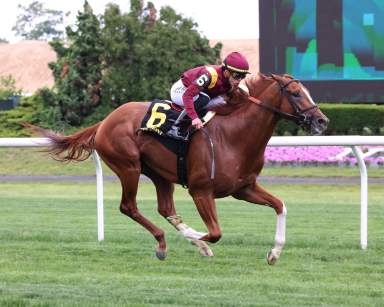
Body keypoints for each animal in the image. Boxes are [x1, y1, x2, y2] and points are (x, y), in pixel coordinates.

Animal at [37, 74, 328, 264]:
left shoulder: (244, 188)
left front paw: (274, 253)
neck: (234, 135)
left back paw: (179, 242)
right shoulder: (201, 190)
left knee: (165, 209)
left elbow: (280, 206)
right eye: (295, 93)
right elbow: (215, 233)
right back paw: (167, 242)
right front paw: (198, 237)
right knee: (129, 207)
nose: (322, 121)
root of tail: (105, 121)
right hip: (128, 166)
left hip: (159, 174)